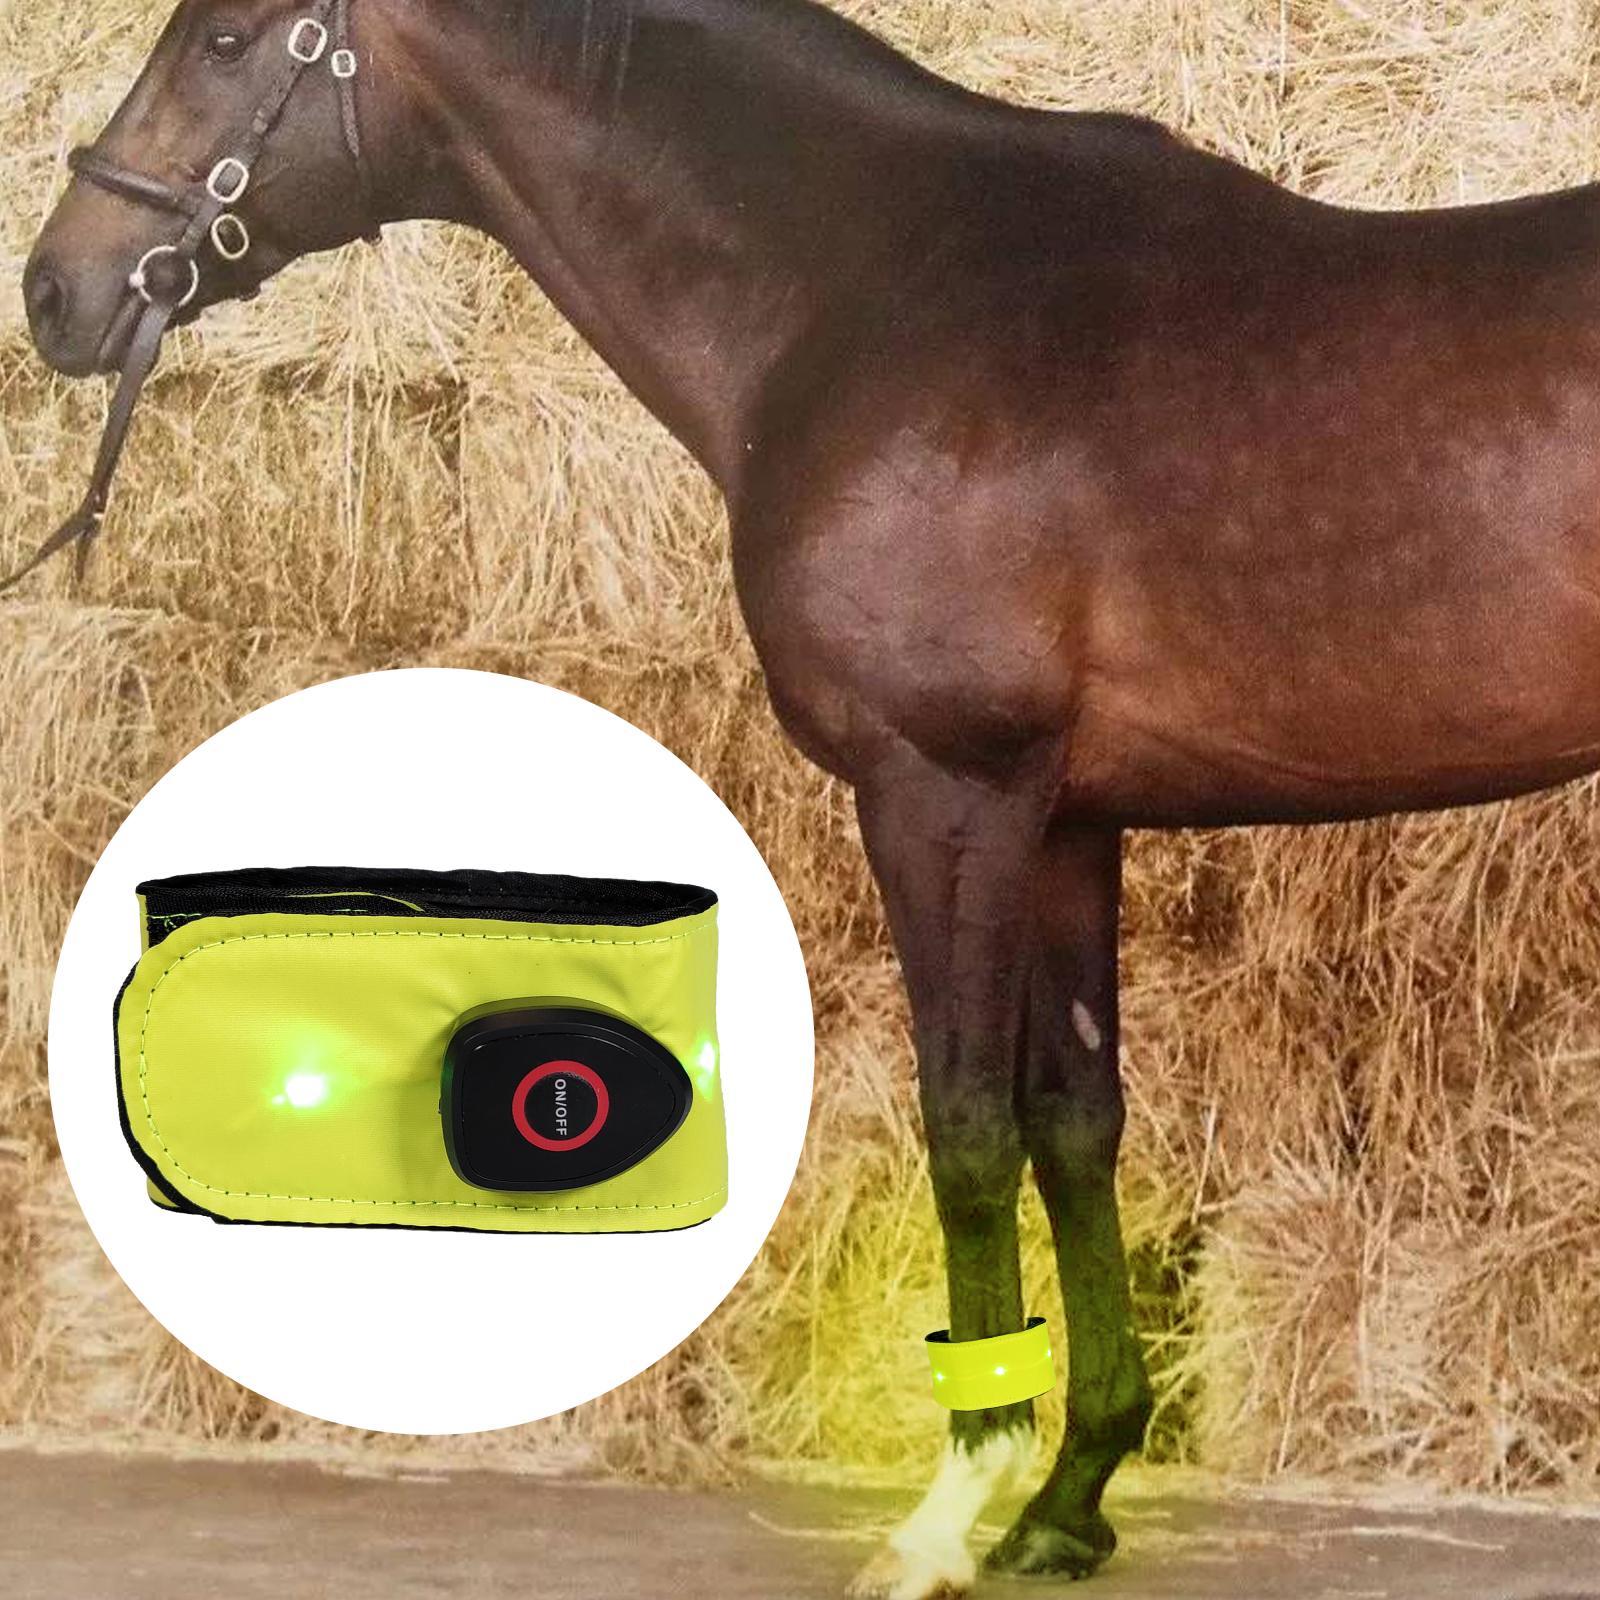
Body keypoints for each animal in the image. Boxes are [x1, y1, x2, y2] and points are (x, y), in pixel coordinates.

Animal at [21, 0, 1600, 1593]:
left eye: (226, 41)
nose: (55, 289)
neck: (862, 293)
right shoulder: (1065, 823)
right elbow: (1074, 1126)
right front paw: (1070, 1497)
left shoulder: (944, 794)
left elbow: (968, 1132)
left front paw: (956, 1503)